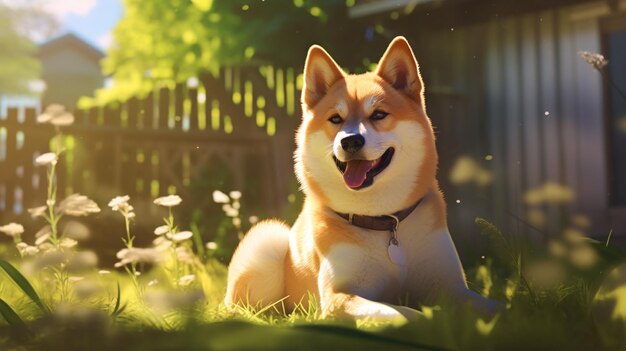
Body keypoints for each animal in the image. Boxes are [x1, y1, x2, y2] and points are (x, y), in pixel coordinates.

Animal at [224, 37, 498, 324]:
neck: (383, 223)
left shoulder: (449, 286)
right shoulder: (339, 297)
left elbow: (494, 306)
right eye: (335, 118)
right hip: (268, 240)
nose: (350, 140)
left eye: (378, 114)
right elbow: (402, 313)